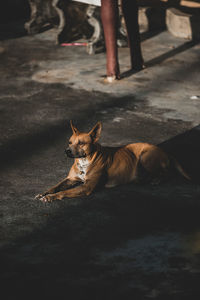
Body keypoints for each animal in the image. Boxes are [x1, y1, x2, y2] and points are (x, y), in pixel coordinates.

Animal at [36, 120, 191, 203]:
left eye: (81, 143)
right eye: (69, 142)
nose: (67, 151)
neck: (84, 161)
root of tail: (165, 152)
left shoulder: (87, 187)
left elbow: (65, 192)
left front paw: (51, 197)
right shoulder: (70, 179)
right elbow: (56, 186)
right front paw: (45, 193)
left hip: (145, 156)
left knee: (168, 173)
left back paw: (157, 179)